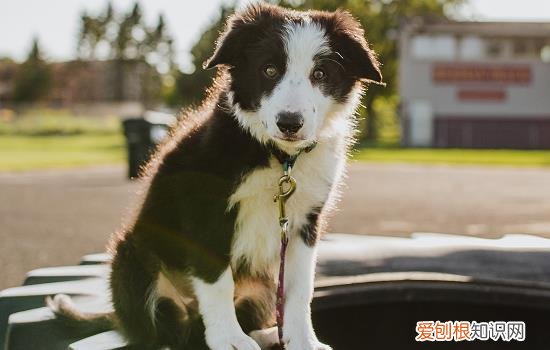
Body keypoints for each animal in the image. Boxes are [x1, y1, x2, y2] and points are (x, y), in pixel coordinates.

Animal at [49, 3, 382, 350]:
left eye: (320, 74)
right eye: (269, 70)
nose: (290, 123)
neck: (279, 158)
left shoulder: (304, 221)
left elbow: (300, 287)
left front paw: (303, 339)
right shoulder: (206, 212)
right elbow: (218, 281)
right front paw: (229, 339)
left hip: (259, 282)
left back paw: (265, 334)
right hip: (133, 256)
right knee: (174, 331)